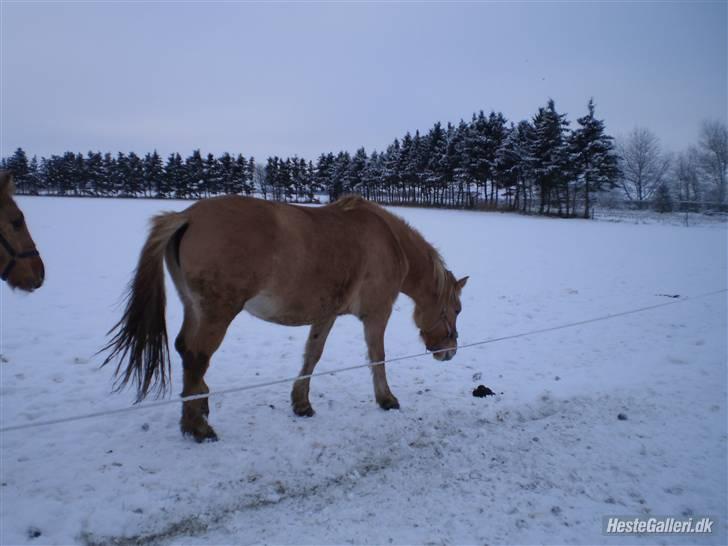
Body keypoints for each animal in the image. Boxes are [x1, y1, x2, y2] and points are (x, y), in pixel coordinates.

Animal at [101, 193, 466, 440]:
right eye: (456, 310)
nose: (450, 352)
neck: (389, 242)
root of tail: (186, 216)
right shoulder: (377, 314)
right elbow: (378, 356)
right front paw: (386, 399)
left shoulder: (326, 314)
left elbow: (312, 355)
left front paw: (301, 403)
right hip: (217, 313)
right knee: (196, 355)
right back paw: (198, 426)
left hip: (195, 308)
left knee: (183, 350)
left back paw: (200, 404)